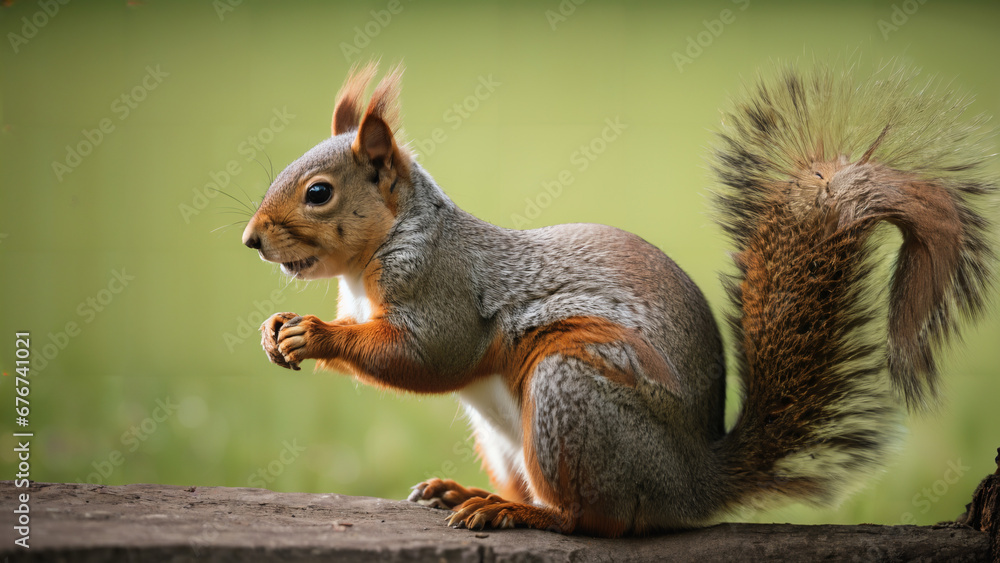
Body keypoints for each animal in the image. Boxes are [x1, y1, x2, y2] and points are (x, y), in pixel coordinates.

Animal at [241, 62, 996, 536]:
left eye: (318, 193)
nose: (251, 239)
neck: (378, 254)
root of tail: (691, 482)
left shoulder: (445, 288)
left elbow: (430, 356)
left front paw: (314, 333)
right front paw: (276, 328)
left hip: (571, 392)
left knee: (593, 520)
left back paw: (520, 514)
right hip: (508, 439)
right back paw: (470, 493)